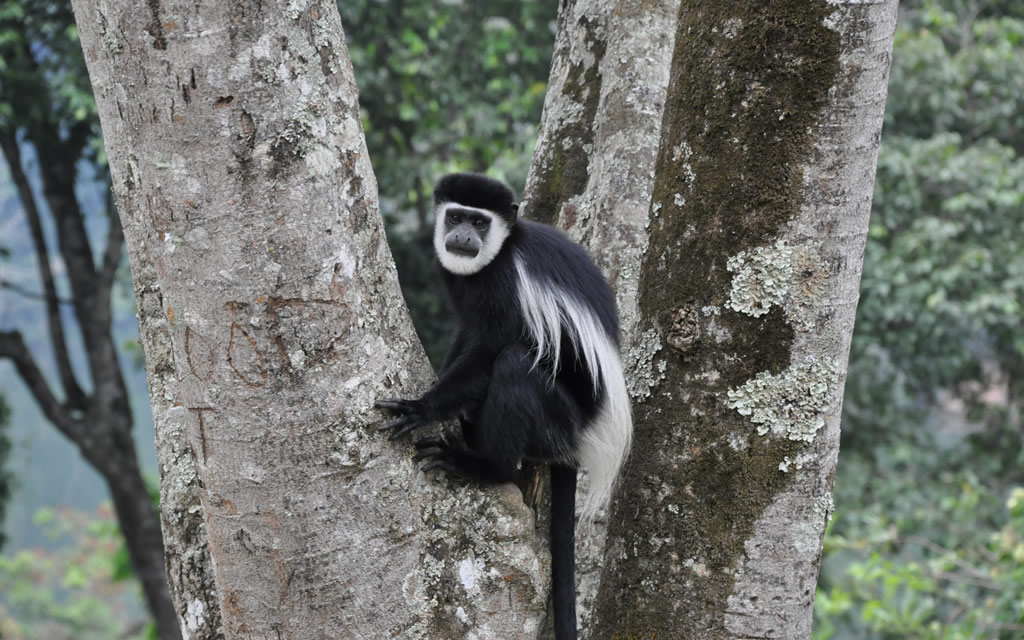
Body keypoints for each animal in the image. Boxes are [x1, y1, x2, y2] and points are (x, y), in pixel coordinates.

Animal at [376, 171, 630, 638]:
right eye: (456, 216)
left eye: (480, 222)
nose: (462, 236)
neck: (497, 257)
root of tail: (581, 436)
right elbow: (467, 337)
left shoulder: (507, 285)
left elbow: (487, 351)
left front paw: (421, 408)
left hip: (556, 421)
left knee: (514, 365)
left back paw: (483, 465)